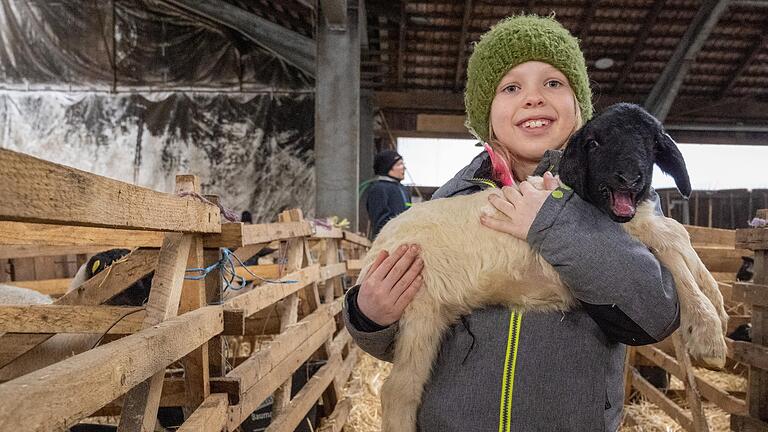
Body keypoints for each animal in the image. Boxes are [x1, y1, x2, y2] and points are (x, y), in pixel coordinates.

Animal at [364, 104, 728, 432]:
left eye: (652, 143)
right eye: (594, 143)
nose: (629, 177)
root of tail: (374, 252)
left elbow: (675, 235)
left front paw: (717, 306)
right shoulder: (631, 231)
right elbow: (671, 241)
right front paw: (708, 333)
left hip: (431, 313)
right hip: (420, 309)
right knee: (397, 391)